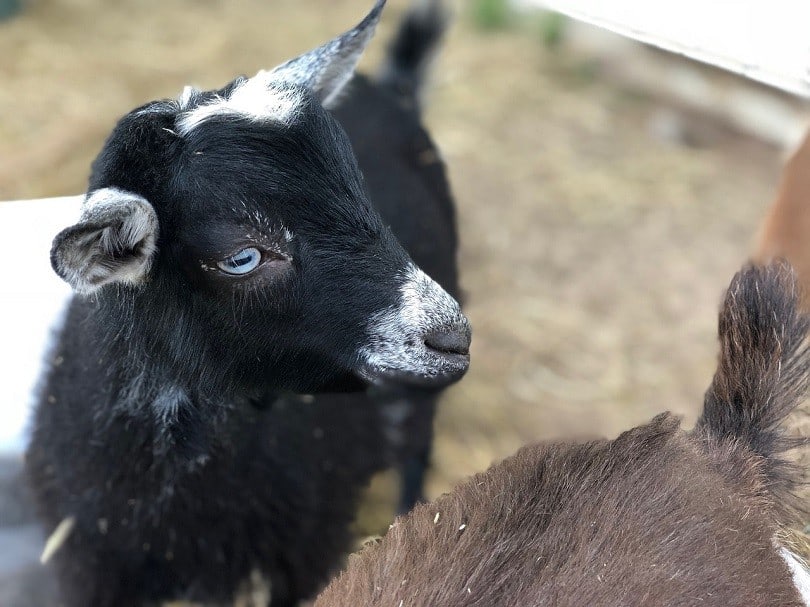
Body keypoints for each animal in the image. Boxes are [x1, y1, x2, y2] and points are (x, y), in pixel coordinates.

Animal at [25, 2, 470, 606]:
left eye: (362, 194)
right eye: (242, 257)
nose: (452, 337)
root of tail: (394, 90)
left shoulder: (302, 555)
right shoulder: (91, 564)